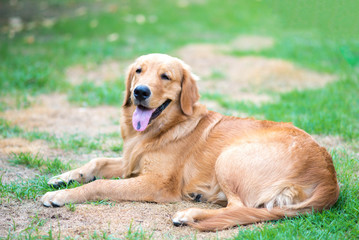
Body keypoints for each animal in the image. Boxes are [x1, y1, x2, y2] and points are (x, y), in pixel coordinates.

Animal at [41, 54, 340, 231]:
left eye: (166, 76)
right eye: (138, 71)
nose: (139, 92)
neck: (163, 128)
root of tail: (330, 178)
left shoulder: (157, 183)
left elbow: (101, 184)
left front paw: (61, 196)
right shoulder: (130, 162)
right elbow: (97, 161)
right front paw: (63, 177)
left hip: (228, 157)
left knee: (239, 208)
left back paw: (189, 214)